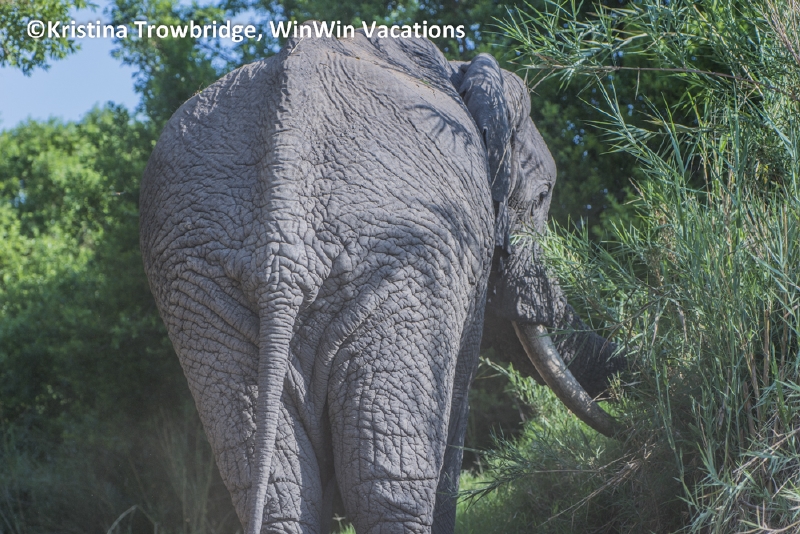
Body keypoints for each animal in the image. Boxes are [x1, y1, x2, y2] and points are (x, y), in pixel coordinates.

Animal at [139, 26, 623, 534]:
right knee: (389, 481)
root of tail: (282, 251)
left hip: (197, 283)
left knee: (278, 489)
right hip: (403, 264)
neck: (460, 67)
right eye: (543, 196)